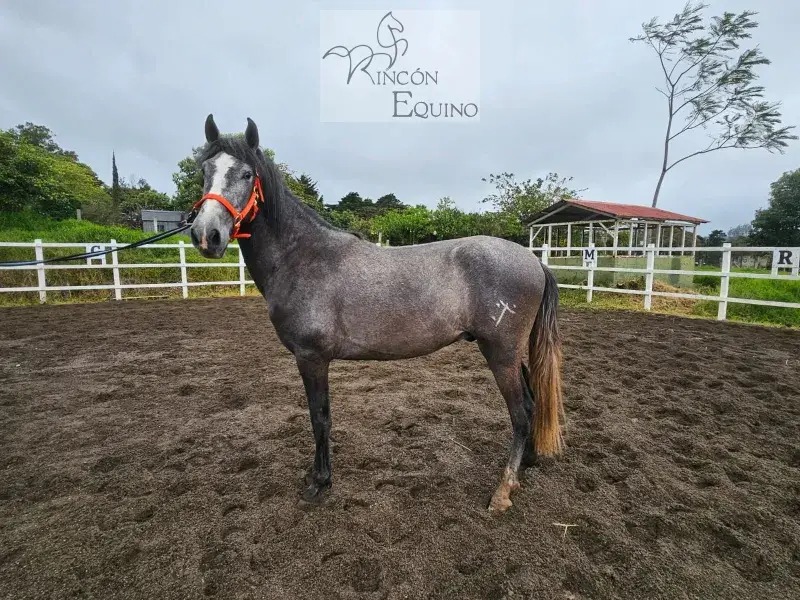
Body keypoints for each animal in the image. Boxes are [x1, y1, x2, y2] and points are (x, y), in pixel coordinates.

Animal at [188, 114, 565, 513]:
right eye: (204, 171)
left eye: (247, 174)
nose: (206, 235)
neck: (302, 256)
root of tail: (535, 262)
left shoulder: (311, 357)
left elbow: (319, 418)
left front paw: (319, 482)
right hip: (507, 352)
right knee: (532, 403)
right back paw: (526, 464)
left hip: (500, 352)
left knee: (521, 412)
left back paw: (503, 490)